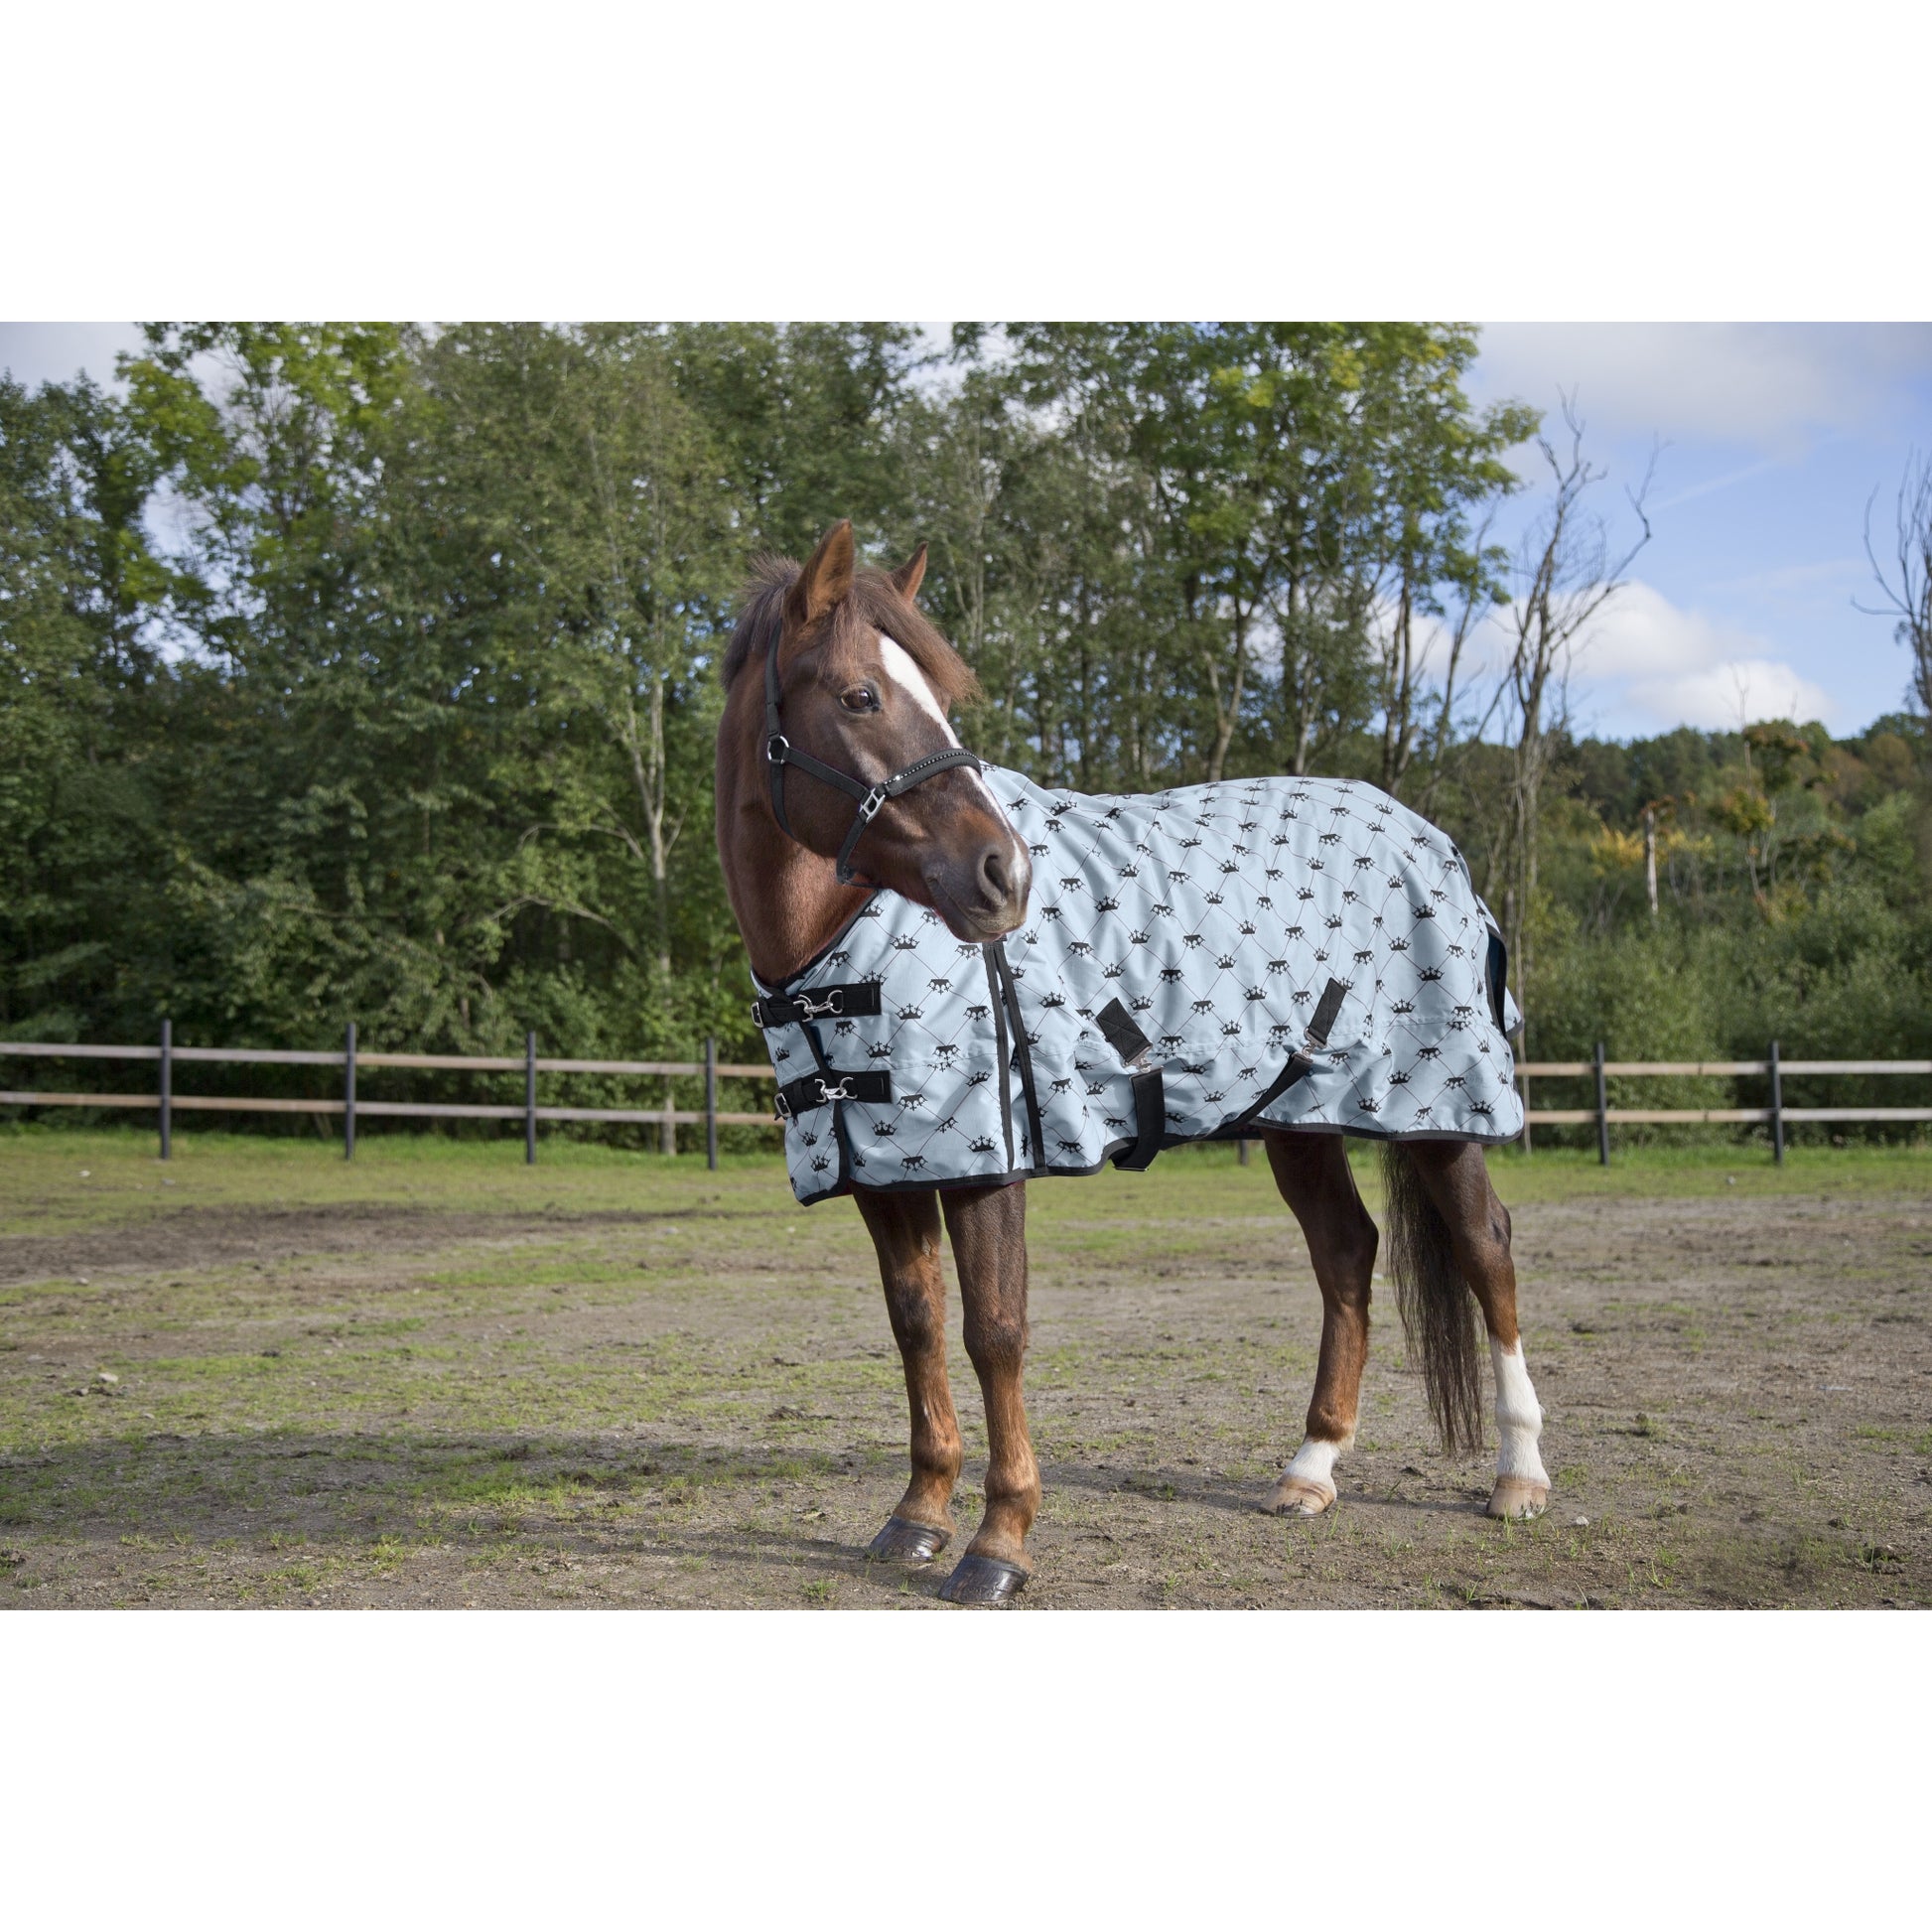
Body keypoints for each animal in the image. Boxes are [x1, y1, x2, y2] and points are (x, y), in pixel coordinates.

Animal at [715, 519, 1551, 1605]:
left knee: (1486, 1248)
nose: (1004, 875)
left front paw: (999, 1541)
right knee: (1345, 1253)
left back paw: (1518, 1474)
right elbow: (916, 1324)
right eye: (860, 695)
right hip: (1298, 1118)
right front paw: (916, 1516)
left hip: (1437, 1109)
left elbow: (994, 1330)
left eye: (936, 695)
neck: (838, 946)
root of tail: (1423, 834)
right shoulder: (885, 1169)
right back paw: (1310, 1470)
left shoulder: (985, 1160)